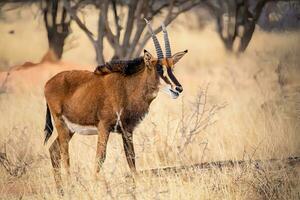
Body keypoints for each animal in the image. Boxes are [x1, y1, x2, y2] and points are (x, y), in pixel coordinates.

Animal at [43, 19, 188, 192]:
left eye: (172, 67)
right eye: (159, 68)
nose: (178, 88)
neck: (127, 88)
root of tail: (48, 83)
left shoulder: (127, 130)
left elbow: (131, 158)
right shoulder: (104, 127)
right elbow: (100, 157)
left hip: (70, 129)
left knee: (53, 150)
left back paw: (61, 191)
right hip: (61, 124)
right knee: (64, 154)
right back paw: (69, 186)